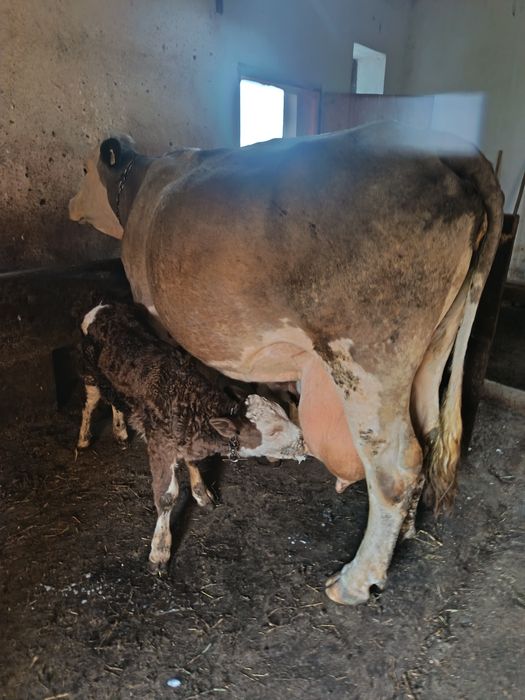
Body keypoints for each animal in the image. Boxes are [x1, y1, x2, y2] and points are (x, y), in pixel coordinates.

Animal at [78, 302, 306, 573]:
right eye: (273, 431)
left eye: (283, 413)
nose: (305, 440)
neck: (188, 397)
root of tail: (104, 305)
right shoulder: (160, 445)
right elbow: (166, 497)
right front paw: (160, 552)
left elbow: (193, 463)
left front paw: (201, 494)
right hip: (90, 374)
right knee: (90, 403)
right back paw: (83, 439)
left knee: (114, 400)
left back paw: (121, 432)